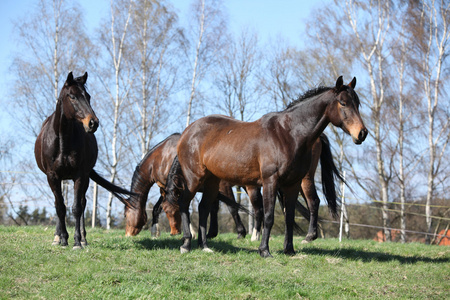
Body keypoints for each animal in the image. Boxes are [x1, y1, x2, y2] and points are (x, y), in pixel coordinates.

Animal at [35, 71, 135, 250]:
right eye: (72, 96)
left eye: (88, 96)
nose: (93, 123)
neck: (63, 140)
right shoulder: (52, 176)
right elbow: (60, 207)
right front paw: (62, 238)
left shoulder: (80, 175)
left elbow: (76, 207)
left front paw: (76, 241)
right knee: (59, 203)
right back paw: (57, 237)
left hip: (86, 177)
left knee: (82, 203)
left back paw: (82, 238)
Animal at [163, 76, 368, 256]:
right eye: (343, 103)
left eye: (357, 103)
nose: (362, 133)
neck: (288, 134)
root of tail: (188, 132)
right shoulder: (270, 182)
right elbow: (268, 215)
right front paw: (264, 250)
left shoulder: (292, 184)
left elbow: (289, 216)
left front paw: (289, 250)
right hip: (194, 178)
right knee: (184, 203)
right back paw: (186, 244)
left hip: (212, 181)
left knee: (203, 207)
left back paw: (204, 246)